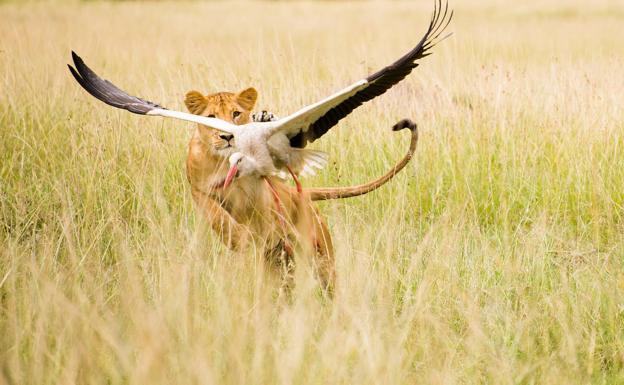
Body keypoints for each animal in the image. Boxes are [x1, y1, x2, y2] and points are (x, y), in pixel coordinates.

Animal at [185, 87, 420, 290]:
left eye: (236, 113)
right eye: (210, 117)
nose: (226, 136)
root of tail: (306, 196)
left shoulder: (263, 189)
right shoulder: (198, 190)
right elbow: (216, 215)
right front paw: (236, 238)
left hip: (323, 261)